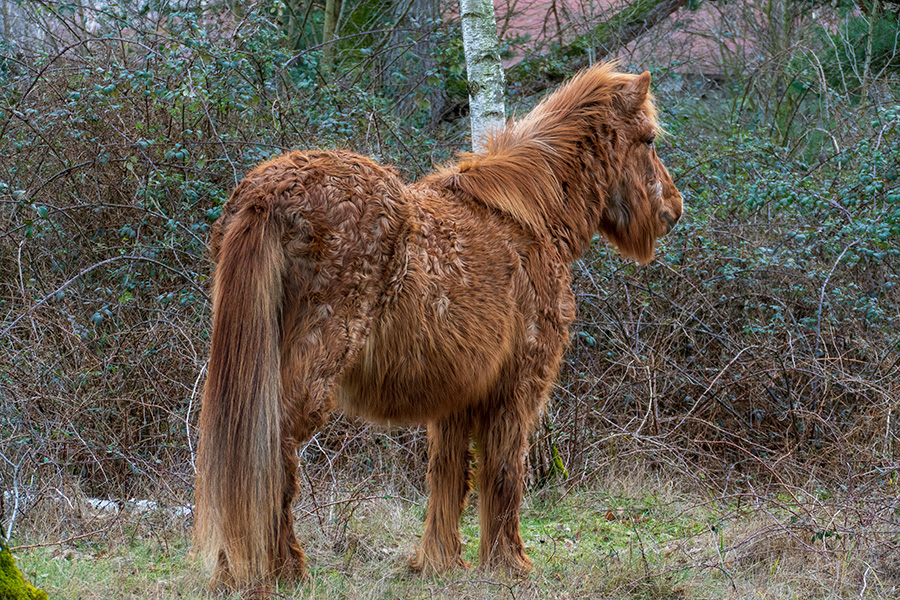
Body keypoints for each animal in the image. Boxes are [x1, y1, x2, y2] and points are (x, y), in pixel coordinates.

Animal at [192, 63, 684, 588]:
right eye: (649, 140)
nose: (673, 210)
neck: (530, 219)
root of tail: (270, 193)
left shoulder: (457, 393)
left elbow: (448, 476)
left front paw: (439, 562)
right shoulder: (517, 387)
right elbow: (503, 473)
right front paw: (509, 564)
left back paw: (235, 571)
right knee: (272, 452)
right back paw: (284, 571)